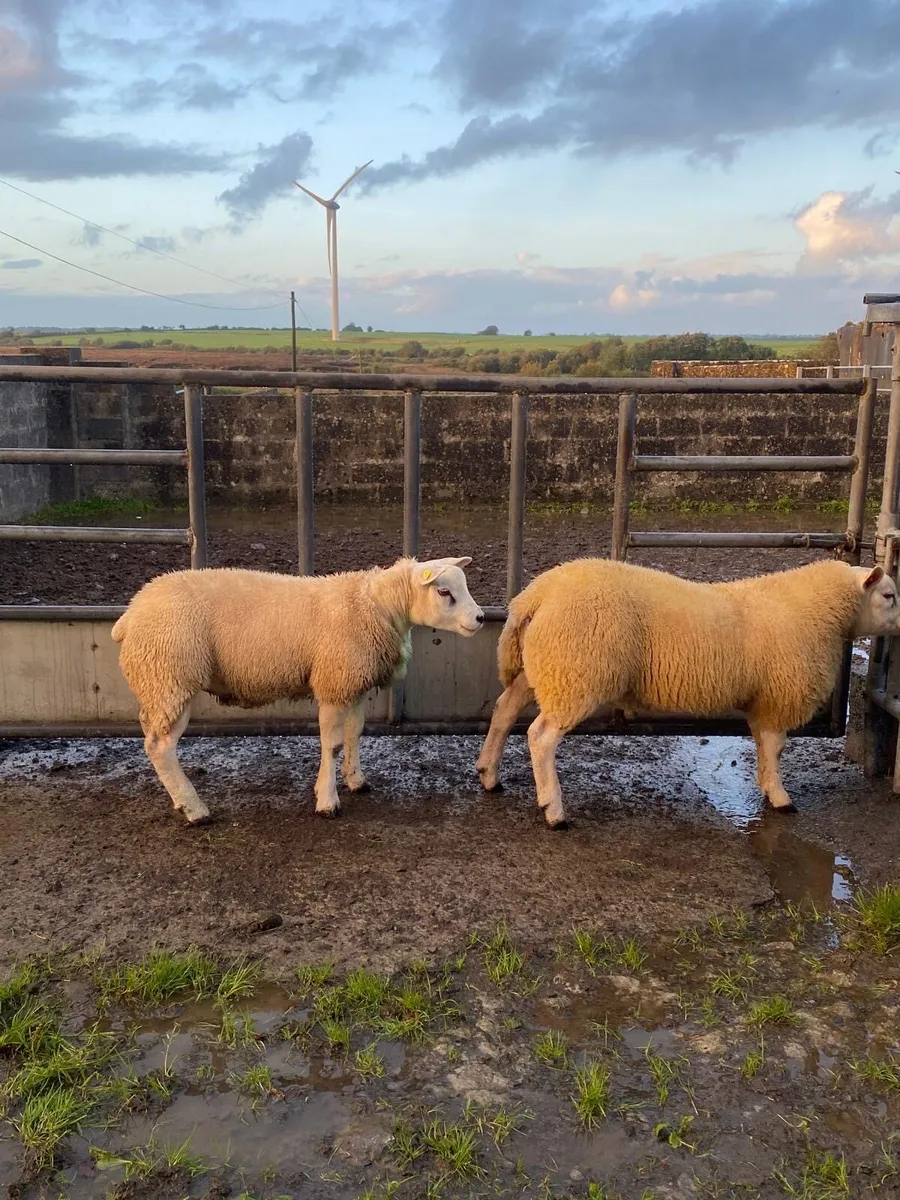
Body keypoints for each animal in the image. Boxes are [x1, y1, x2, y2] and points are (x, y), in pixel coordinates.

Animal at [112, 556, 484, 823]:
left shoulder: (352, 683)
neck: (373, 606)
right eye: (444, 592)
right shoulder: (333, 682)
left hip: (157, 684)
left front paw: (356, 779)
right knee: (161, 747)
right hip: (171, 675)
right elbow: (332, 745)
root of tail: (130, 613)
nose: (480, 618)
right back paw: (194, 810)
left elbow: (354, 733)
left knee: (151, 735)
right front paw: (327, 800)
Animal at [476, 558, 900, 828]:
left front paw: (767, 786)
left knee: (504, 710)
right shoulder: (780, 695)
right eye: (888, 596)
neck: (817, 613)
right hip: (577, 672)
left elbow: (765, 747)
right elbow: (776, 748)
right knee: (540, 737)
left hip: (543, 666)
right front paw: (781, 798)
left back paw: (489, 774)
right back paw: (554, 810)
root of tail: (537, 594)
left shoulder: (764, 700)